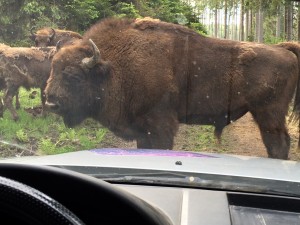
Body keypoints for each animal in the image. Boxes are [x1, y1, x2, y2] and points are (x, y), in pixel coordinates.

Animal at [44, 16, 300, 159]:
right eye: (52, 68)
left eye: (74, 76)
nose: (50, 102)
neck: (112, 66)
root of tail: (283, 49)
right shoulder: (142, 130)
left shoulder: (160, 125)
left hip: (269, 113)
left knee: (278, 143)